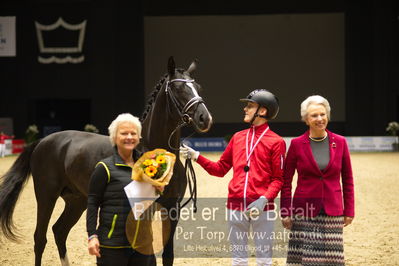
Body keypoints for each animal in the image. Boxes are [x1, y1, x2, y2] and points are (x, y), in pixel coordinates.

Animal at [0, 57, 214, 264]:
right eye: (178, 88)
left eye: (198, 87)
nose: (205, 118)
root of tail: (42, 141)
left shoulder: (171, 209)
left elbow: (167, 256)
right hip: (46, 196)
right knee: (40, 239)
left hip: (77, 200)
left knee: (59, 231)